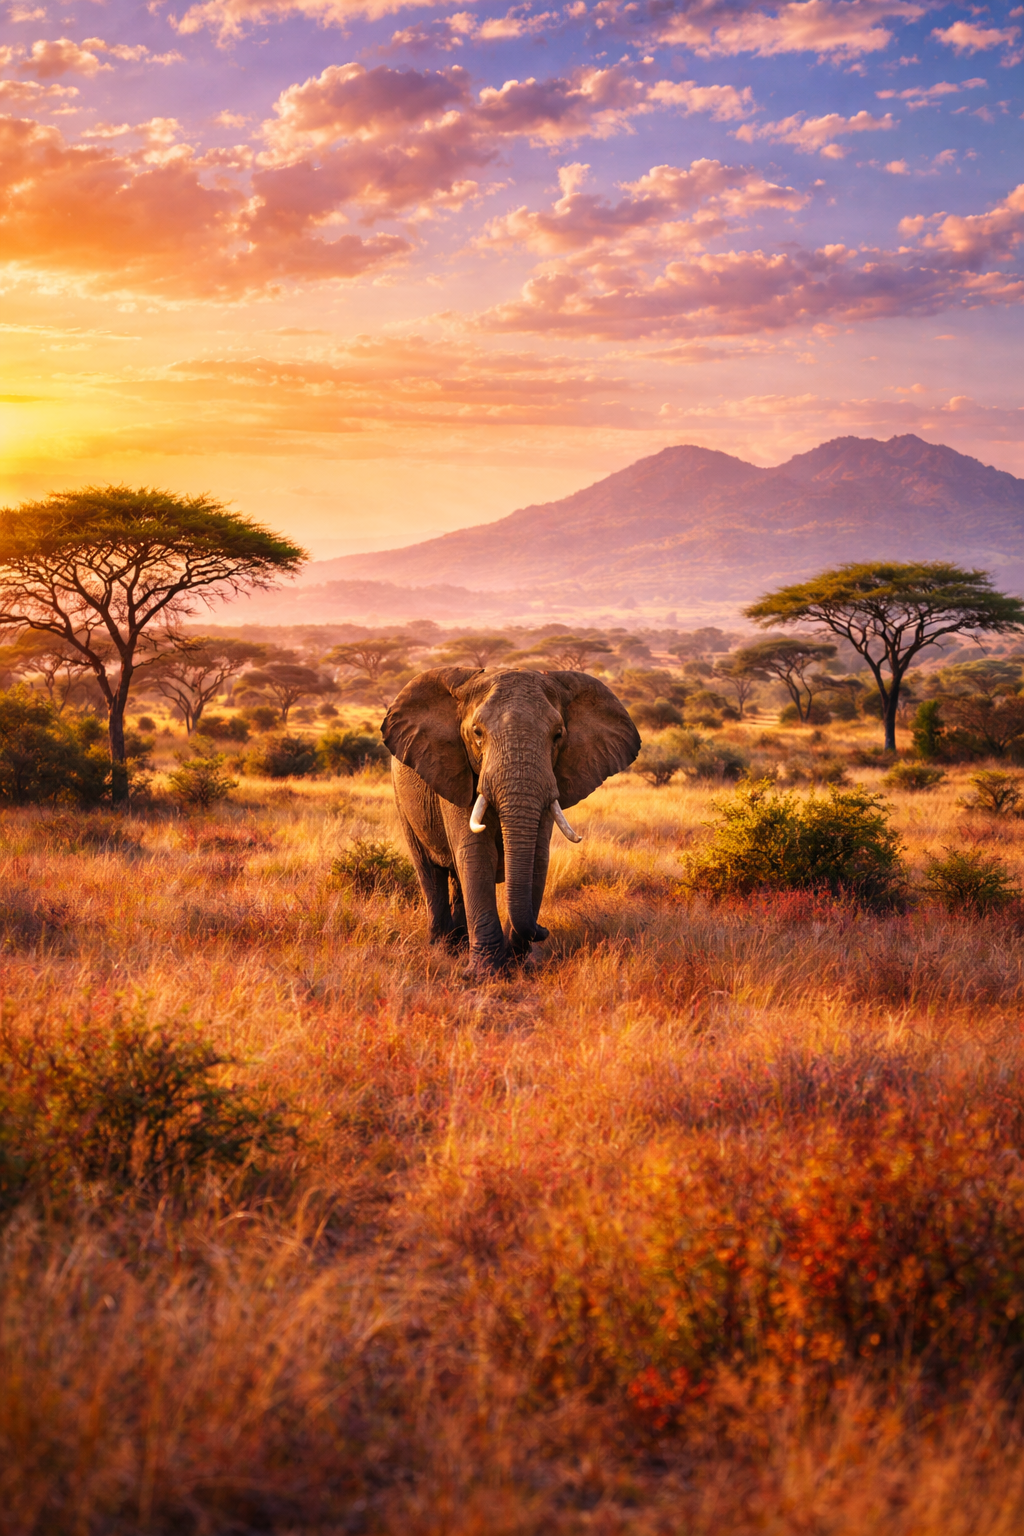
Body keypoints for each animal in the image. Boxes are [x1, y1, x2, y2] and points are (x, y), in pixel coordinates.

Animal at [381, 666, 641, 972]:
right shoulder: (458, 770)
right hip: (402, 798)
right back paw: (442, 948)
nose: (543, 930)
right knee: (429, 870)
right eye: (477, 733)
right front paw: (484, 973)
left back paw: (460, 945)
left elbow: (538, 858)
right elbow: (476, 854)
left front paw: (516, 966)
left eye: (558, 735)